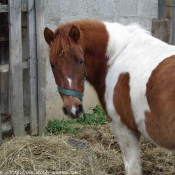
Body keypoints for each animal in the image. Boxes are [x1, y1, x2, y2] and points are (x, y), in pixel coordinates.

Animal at [44, 19, 175, 175]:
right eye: (52, 65)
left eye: (81, 61)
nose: (73, 109)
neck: (118, 55)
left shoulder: (124, 130)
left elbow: (132, 168)